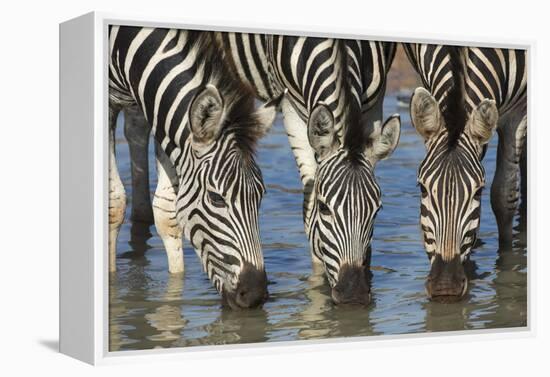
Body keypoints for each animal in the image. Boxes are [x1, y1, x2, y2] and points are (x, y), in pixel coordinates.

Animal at [110, 27, 286, 308]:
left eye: (260, 196)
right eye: (216, 199)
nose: (255, 295)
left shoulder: (159, 110)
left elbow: (167, 212)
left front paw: (175, 290)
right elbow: (114, 203)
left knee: (136, 128)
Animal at [219, 33, 402, 304]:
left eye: (377, 210)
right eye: (324, 208)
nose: (354, 295)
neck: (339, 48)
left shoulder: (374, 104)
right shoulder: (291, 109)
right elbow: (309, 206)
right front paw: (317, 288)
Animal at [406, 43, 532, 300]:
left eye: (478, 192)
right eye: (422, 189)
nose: (445, 288)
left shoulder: (518, 110)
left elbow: (503, 196)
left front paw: (507, 267)